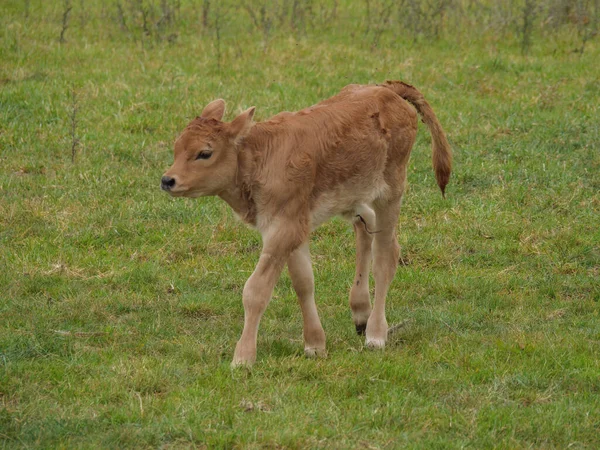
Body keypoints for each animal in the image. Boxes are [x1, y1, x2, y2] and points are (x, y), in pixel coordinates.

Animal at [159, 81, 450, 368]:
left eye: (204, 153)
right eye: (177, 148)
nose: (167, 180)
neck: (259, 157)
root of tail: (387, 88)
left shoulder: (283, 230)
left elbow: (255, 290)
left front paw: (243, 358)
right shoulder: (293, 227)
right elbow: (303, 282)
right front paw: (315, 345)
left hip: (390, 191)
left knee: (385, 256)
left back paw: (376, 333)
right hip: (352, 197)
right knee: (366, 223)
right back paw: (360, 312)